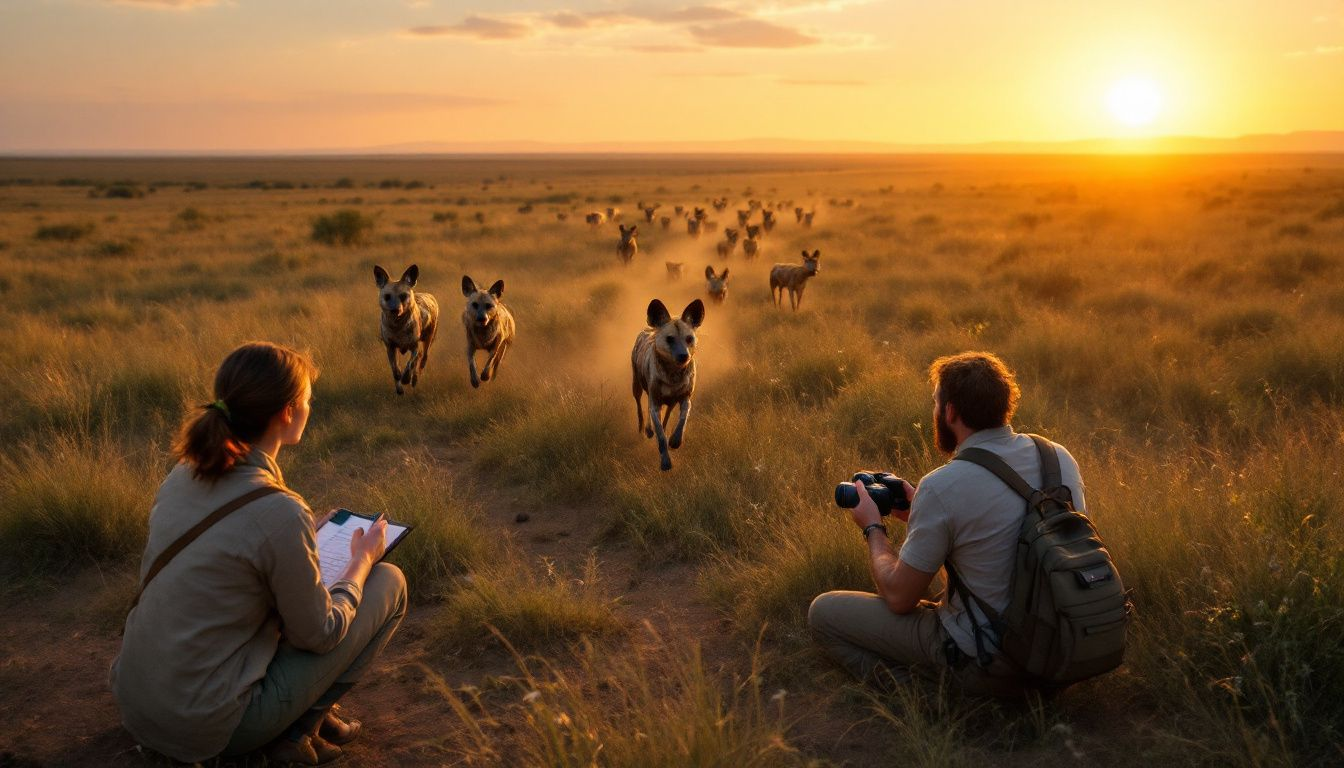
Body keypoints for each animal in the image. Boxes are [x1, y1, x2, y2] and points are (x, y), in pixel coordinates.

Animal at [373, 264, 440, 395]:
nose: (395, 309)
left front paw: (406, 378)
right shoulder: (390, 348)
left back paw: (414, 379)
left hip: (427, 342)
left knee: (421, 360)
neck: (397, 327)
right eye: (387, 297)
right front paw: (399, 388)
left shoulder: (414, 347)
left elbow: (409, 364)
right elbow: (396, 371)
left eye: (403, 296)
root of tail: (429, 295)